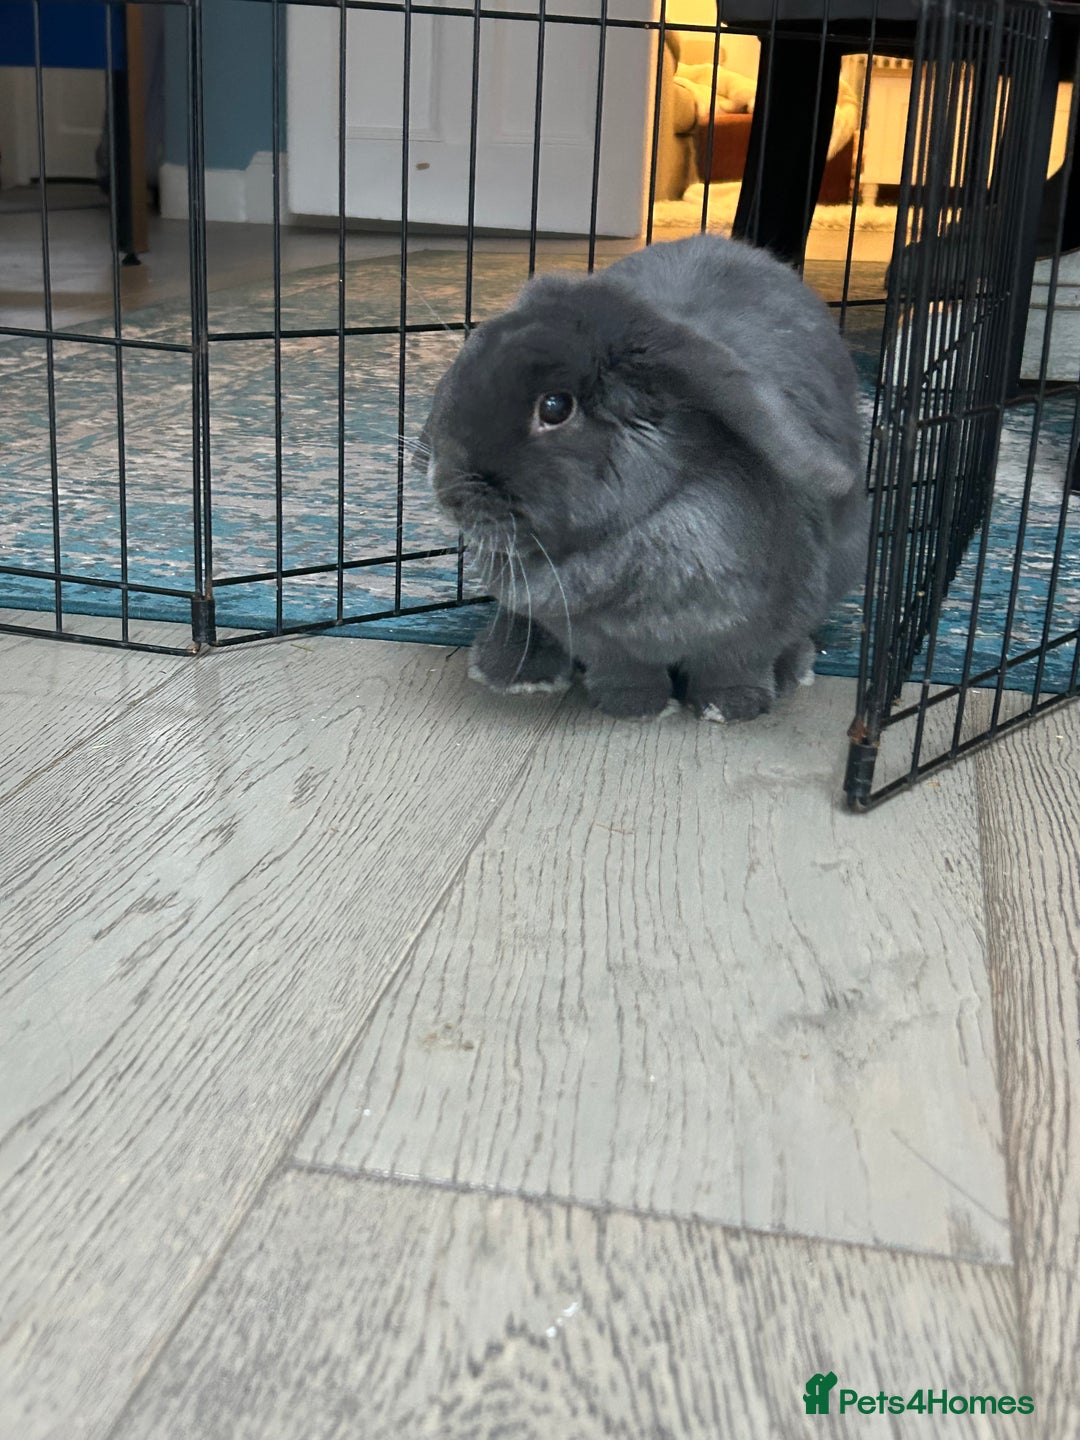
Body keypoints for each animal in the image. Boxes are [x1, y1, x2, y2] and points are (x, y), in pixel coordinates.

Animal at [418, 232, 868, 721]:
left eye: (555, 407)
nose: (448, 493)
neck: (647, 524)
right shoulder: (596, 638)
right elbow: (624, 670)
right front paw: (633, 707)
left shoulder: (761, 625)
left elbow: (736, 665)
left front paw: (730, 708)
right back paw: (511, 666)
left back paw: (793, 669)